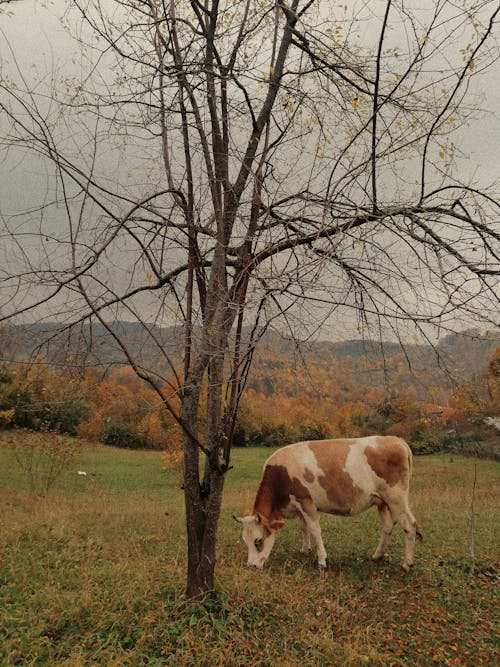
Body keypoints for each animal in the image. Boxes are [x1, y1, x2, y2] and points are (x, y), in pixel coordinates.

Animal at [234, 436, 422, 572]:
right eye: (245, 541)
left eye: (258, 541)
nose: (251, 567)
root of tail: (397, 440)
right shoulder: (299, 506)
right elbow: (304, 528)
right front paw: (305, 550)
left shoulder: (306, 501)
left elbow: (315, 530)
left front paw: (322, 561)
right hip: (382, 501)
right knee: (388, 526)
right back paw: (377, 555)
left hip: (396, 497)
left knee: (409, 525)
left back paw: (407, 564)